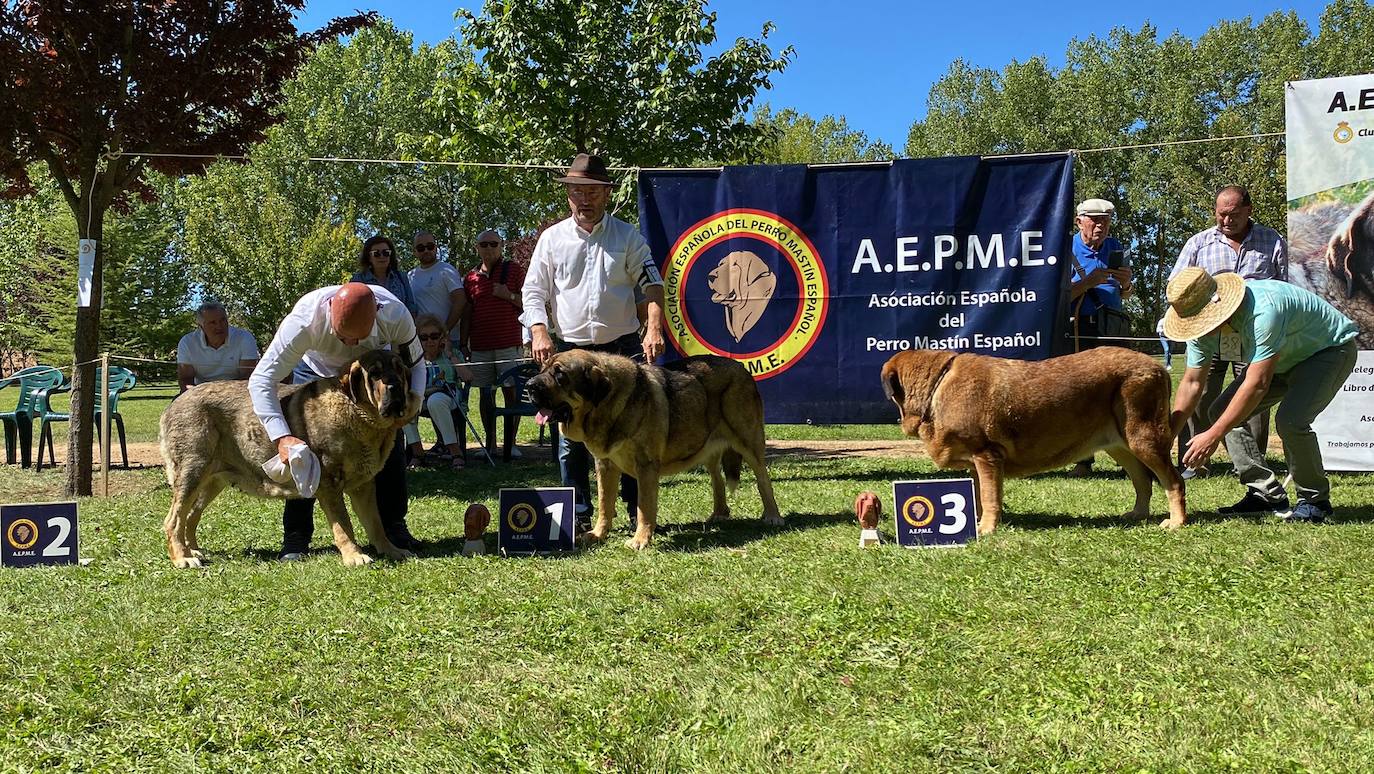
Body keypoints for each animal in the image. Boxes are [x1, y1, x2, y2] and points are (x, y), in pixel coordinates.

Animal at [159, 351, 417, 569]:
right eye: (374, 373)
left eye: (399, 369)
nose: (395, 386)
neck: (359, 415)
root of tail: (174, 403)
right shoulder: (330, 484)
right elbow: (344, 524)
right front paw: (354, 556)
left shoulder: (364, 486)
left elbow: (376, 523)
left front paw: (391, 550)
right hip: (192, 472)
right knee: (174, 519)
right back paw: (183, 558)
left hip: (213, 481)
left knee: (190, 515)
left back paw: (193, 550)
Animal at [524, 351, 785, 549]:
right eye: (543, 367)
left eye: (559, 374)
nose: (529, 385)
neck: (607, 406)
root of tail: (741, 367)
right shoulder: (605, 465)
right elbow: (605, 504)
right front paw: (598, 534)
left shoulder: (646, 466)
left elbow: (644, 507)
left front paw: (640, 540)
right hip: (706, 446)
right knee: (717, 480)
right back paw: (719, 514)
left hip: (748, 442)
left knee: (763, 480)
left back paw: (773, 516)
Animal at [884, 347, 1187, 536]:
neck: (937, 385)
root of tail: (1158, 367)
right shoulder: (976, 463)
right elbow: (979, 496)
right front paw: (978, 522)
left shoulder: (987, 455)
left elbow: (990, 497)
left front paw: (986, 529)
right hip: (1120, 445)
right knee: (1142, 481)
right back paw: (1138, 514)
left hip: (1143, 438)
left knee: (1173, 481)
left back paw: (1176, 522)